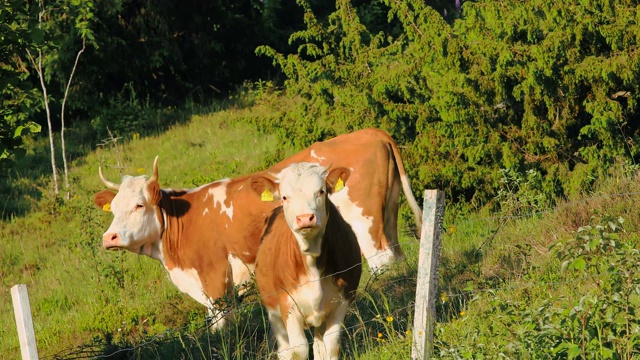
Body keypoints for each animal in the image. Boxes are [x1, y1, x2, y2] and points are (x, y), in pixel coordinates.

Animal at [251, 163, 362, 360]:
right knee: (284, 348)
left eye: (321, 191)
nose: (304, 218)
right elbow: (298, 350)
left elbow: (331, 346)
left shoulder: (343, 299)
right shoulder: (288, 306)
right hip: (274, 313)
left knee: (319, 345)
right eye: (285, 197)